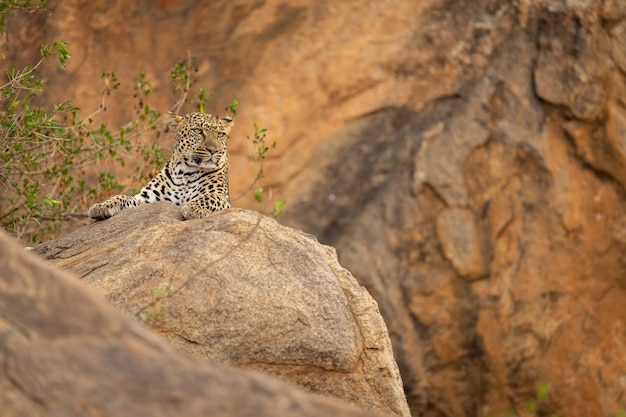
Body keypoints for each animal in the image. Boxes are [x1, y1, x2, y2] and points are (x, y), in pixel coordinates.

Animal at [88, 110, 234, 221]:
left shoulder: (223, 199)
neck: (185, 173)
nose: (214, 150)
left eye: (221, 134)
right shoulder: (146, 200)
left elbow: (209, 197)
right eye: (198, 131)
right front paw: (101, 206)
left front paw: (193, 209)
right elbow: (121, 197)